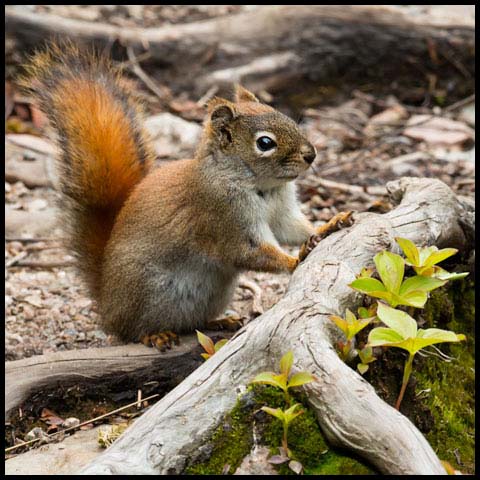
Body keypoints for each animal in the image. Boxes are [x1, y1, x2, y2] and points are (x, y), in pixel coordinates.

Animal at [21, 43, 352, 346]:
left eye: (285, 116)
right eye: (265, 143)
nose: (311, 154)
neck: (264, 187)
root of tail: (107, 306)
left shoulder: (282, 212)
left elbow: (294, 228)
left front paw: (328, 225)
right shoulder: (223, 217)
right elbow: (250, 252)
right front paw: (295, 259)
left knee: (192, 323)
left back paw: (220, 321)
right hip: (146, 291)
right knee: (133, 331)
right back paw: (155, 335)